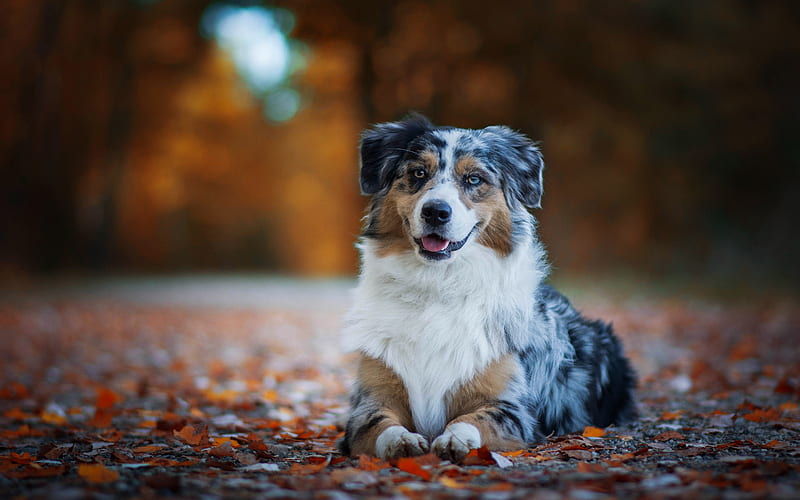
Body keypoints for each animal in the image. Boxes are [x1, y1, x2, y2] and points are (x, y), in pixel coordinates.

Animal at [340, 113, 636, 460]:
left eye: (473, 179)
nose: (436, 211)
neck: (437, 287)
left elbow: (473, 419)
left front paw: (455, 440)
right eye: (418, 173)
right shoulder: (370, 399)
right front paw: (402, 441)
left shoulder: (510, 408)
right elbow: (379, 424)